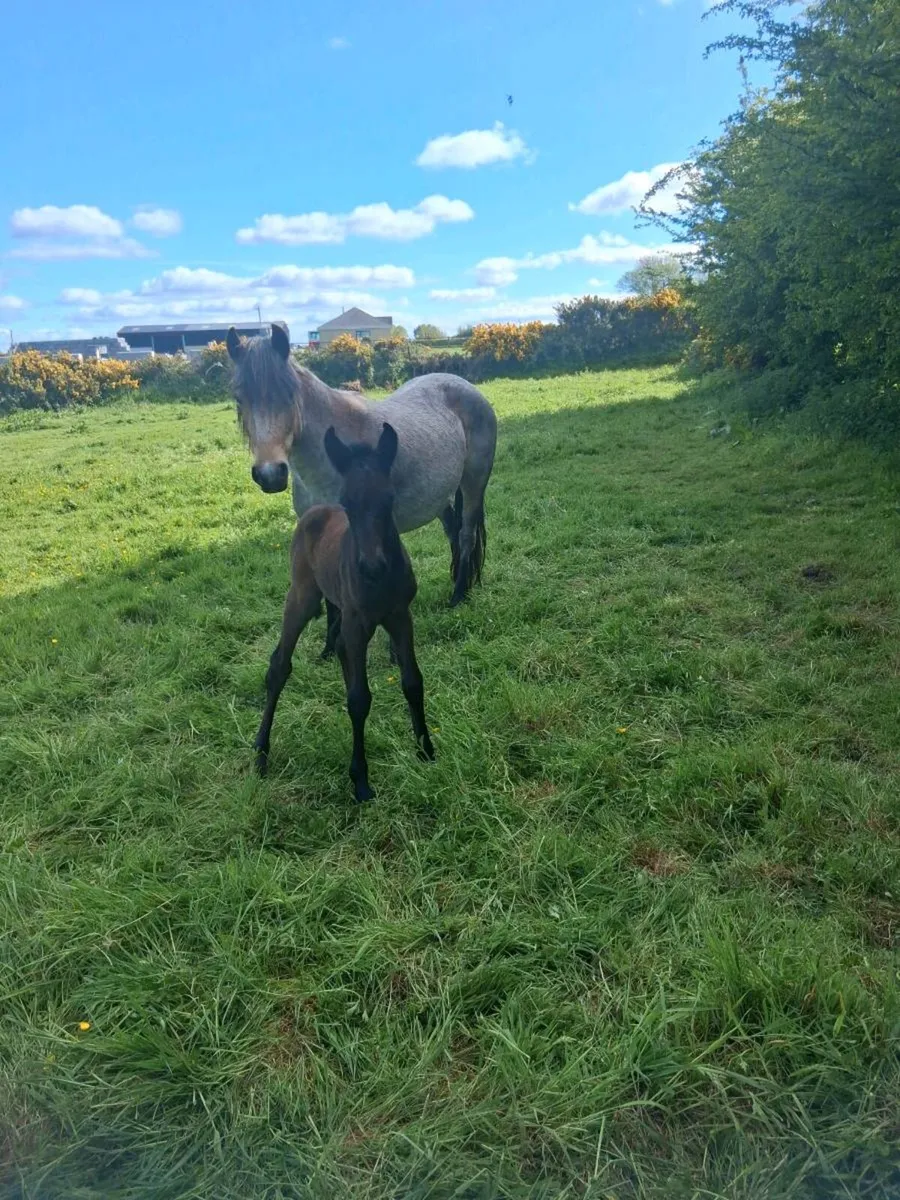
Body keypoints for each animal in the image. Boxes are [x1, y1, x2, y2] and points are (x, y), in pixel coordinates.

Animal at [227, 324, 497, 626]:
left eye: (288, 394)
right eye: (239, 398)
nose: (270, 474)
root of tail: (467, 387)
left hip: (474, 483)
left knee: (466, 534)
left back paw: (459, 594)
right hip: (439, 497)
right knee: (453, 531)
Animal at [253, 422, 435, 802]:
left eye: (389, 499)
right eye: (348, 502)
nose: (372, 566)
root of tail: (313, 512)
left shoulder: (400, 616)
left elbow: (412, 681)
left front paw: (426, 750)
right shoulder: (357, 622)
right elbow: (360, 698)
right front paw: (361, 781)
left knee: (336, 647)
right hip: (302, 597)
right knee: (279, 665)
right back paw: (260, 752)